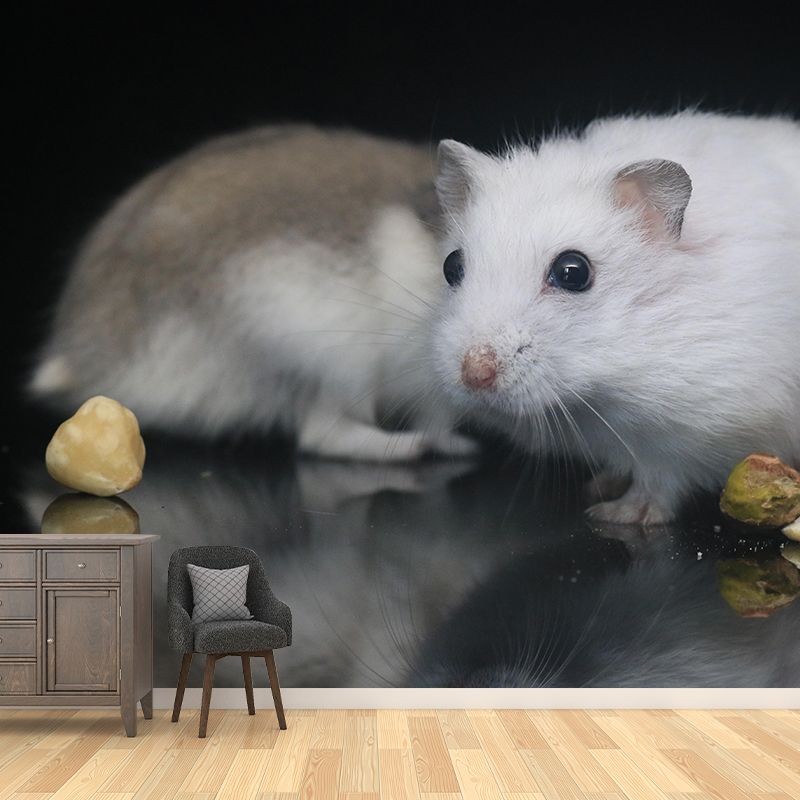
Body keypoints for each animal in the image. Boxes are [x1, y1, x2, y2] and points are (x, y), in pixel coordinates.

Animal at [29, 126, 476, 461]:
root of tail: (78, 355)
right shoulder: (426, 377)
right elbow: (436, 417)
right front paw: (454, 444)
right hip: (335, 366)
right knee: (321, 435)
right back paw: (414, 448)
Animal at [433, 111, 800, 524]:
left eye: (572, 272)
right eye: (451, 266)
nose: (473, 375)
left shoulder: (701, 431)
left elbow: (659, 481)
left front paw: (616, 514)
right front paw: (602, 486)